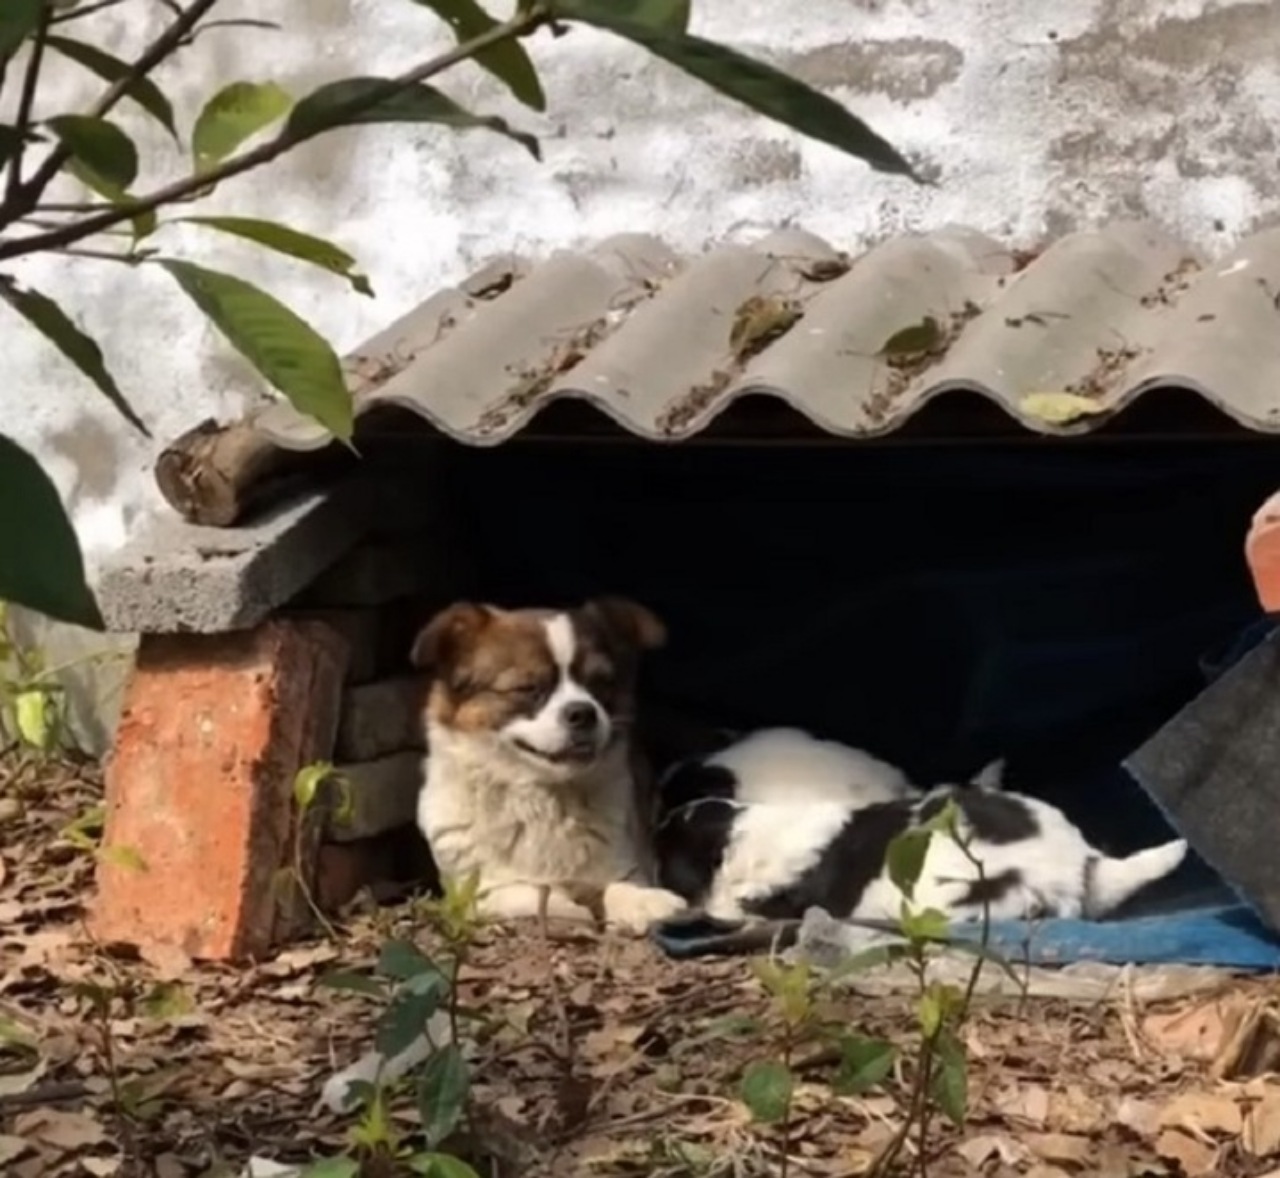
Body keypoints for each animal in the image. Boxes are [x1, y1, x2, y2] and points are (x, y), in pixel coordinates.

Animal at [409, 594, 691, 932]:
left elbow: (618, 884)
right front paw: (566, 905)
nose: (584, 712)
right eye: (528, 688)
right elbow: (525, 891)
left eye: (601, 683)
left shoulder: (627, 864)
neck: (543, 798)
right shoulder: (471, 893)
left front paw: (644, 901)